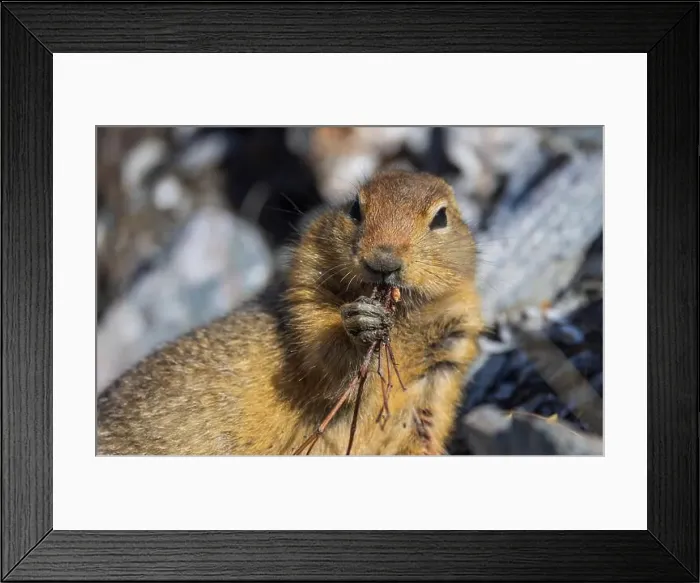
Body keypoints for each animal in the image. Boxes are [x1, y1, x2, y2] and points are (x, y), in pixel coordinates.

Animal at [97, 170, 484, 455]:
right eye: (355, 208)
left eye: (441, 217)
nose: (383, 261)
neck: (404, 321)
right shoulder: (303, 300)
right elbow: (324, 359)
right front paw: (361, 326)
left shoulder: (447, 364)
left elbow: (424, 428)